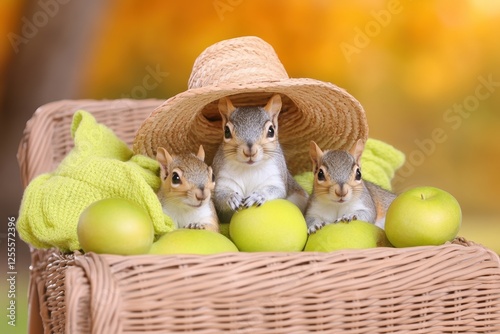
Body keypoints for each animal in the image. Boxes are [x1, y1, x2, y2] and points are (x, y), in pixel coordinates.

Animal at [211, 94, 308, 223]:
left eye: (271, 130)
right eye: (226, 131)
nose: (250, 151)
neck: (249, 168)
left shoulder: (276, 177)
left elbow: (278, 190)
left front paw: (259, 195)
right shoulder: (222, 179)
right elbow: (219, 197)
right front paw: (231, 197)